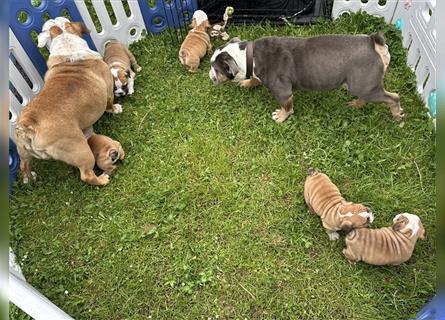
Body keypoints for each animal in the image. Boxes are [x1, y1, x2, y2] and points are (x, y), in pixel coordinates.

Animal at [16, 20, 116, 185]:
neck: (67, 47)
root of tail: (29, 125)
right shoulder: (108, 90)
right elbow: (110, 102)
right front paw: (115, 108)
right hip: (80, 149)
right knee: (86, 174)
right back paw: (102, 179)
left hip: (23, 152)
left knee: (24, 166)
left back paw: (29, 178)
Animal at [209, 33, 402, 123]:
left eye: (216, 70)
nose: (210, 76)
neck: (248, 56)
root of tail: (373, 43)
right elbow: (255, 79)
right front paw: (248, 82)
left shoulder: (283, 92)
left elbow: (287, 106)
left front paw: (281, 117)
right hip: (361, 85)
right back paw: (356, 104)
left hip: (365, 86)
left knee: (393, 97)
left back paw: (397, 115)